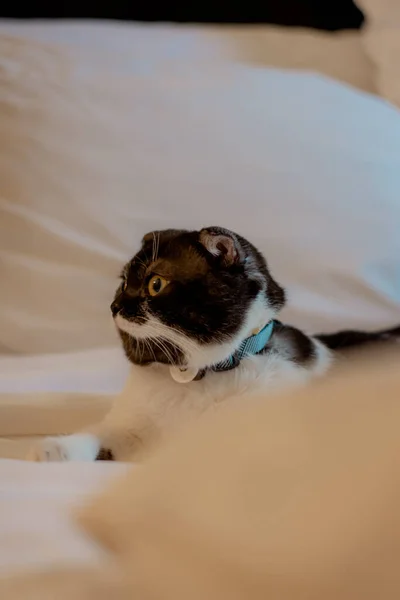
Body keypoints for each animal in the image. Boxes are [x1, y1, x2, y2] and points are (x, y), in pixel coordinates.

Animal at [28, 227, 400, 462]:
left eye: (155, 284)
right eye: (122, 283)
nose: (114, 305)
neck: (191, 379)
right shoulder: (128, 429)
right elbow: (99, 433)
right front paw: (56, 449)